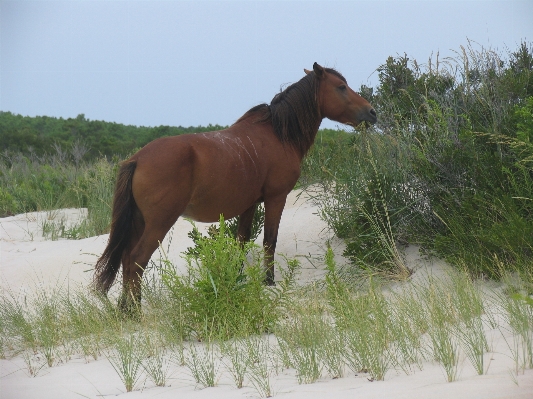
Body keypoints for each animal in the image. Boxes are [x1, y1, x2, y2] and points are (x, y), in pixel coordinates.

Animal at [94, 62, 378, 310]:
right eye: (341, 87)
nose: (372, 112)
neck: (279, 133)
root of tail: (137, 159)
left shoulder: (249, 206)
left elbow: (241, 242)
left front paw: (236, 279)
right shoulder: (276, 198)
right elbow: (270, 240)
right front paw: (268, 282)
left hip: (139, 221)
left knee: (127, 259)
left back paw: (123, 309)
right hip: (159, 222)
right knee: (137, 260)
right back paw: (134, 311)